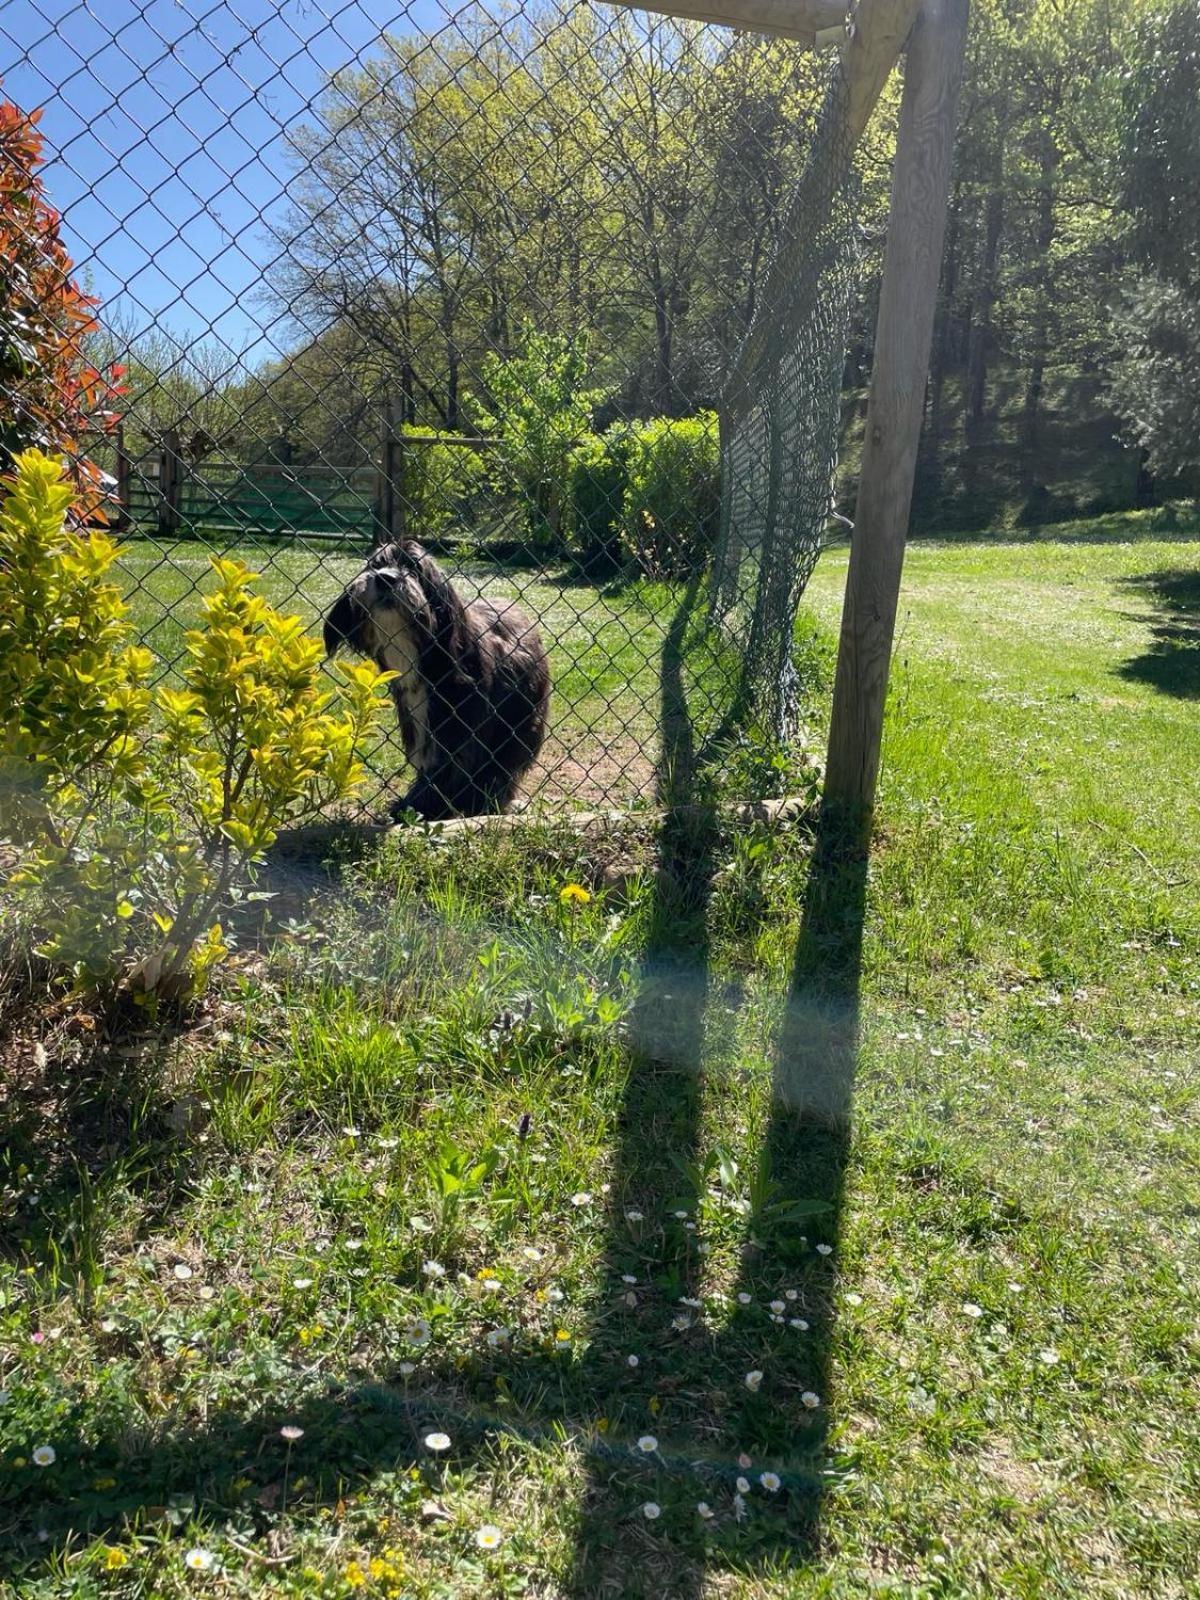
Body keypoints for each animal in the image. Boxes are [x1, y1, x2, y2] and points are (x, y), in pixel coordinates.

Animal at [329, 537, 553, 819]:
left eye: (414, 569)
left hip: (522, 718)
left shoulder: (460, 724)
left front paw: (427, 805)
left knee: (504, 761)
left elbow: (452, 765)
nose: (385, 578)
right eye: (376, 565)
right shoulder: (416, 717)